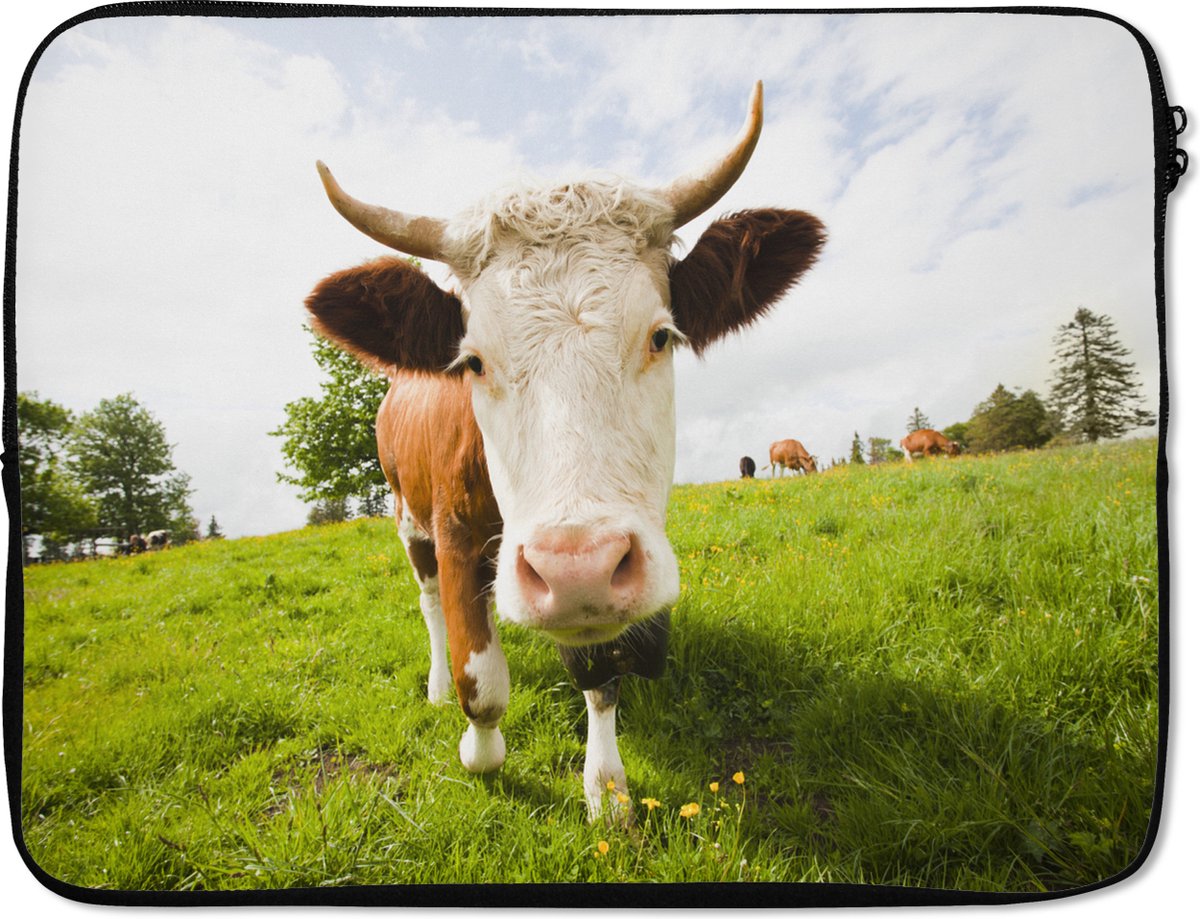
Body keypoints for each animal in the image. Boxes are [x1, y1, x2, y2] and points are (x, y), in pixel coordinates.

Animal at [305, 82, 825, 820]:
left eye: (662, 335)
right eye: (472, 361)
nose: (574, 569)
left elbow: (599, 674)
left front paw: (606, 789)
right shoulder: (456, 534)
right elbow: (481, 681)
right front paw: (480, 753)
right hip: (408, 517)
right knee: (431, 603)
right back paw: (434, 683)